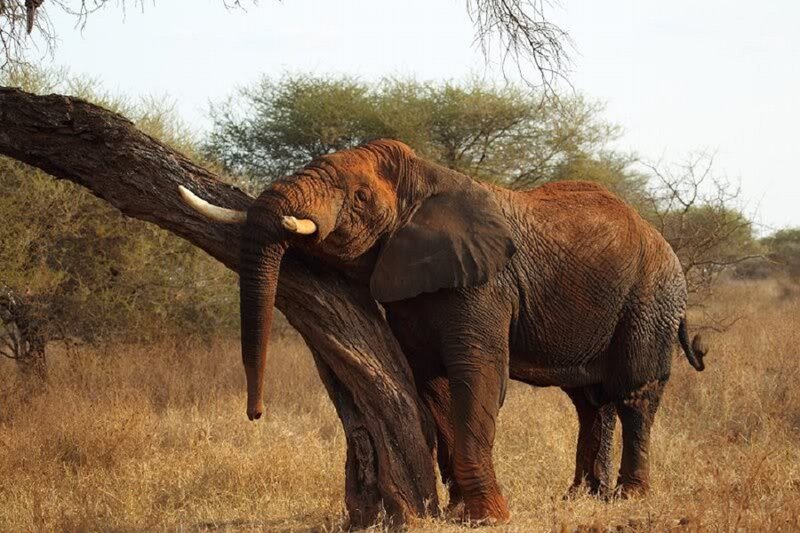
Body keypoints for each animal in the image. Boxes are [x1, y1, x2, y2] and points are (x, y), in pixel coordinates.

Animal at [179, 139, 707, 524]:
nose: (255, 413)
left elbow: (477, 378)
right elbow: (432, 384)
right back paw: (580, 498)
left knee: (634, 393)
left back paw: (628, 498)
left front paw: (487, 518)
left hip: (650, 297)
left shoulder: (485, 282)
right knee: (590, 401)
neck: (425, 177)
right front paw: (457, 511)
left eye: (361, 198)